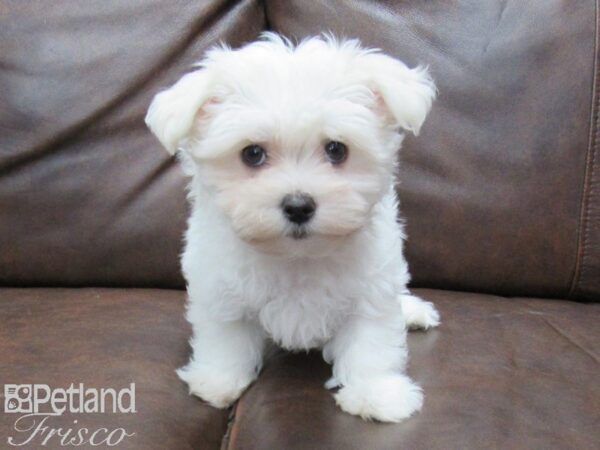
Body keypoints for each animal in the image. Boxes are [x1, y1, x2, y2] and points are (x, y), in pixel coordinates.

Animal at [147, 32, 440, 422]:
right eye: (252, 153)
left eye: (336, 149)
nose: (299, 205)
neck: (297, 256)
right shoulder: (219, 287)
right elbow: (226, 336)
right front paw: (219, 380)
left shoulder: (372, 289)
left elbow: (371, 342)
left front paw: (375, 394)